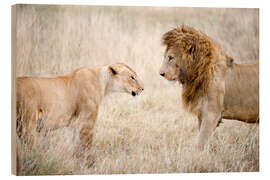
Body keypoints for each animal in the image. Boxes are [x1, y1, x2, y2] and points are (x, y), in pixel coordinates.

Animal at [16, 62, 144, 165]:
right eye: (132, 77)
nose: (142, 89)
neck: (104, 83)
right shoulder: (87, 122)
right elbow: (87, 146)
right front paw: (90, 165)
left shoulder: (74, 124)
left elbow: (74, 146)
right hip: (27, 125)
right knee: (28, 149)